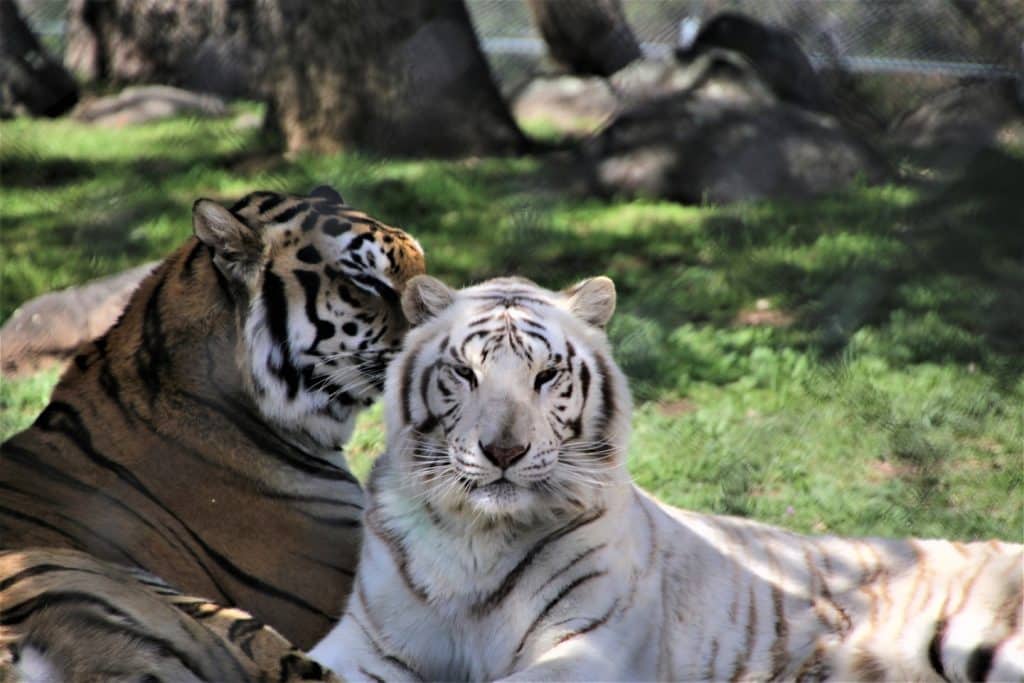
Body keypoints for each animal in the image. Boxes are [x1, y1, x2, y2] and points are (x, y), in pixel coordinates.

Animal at [310, 274, 1023, 682]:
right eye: (465, 372)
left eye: (546, 375)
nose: (504, 450)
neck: (476, 538)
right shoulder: (369, 643)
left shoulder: (589, 646)